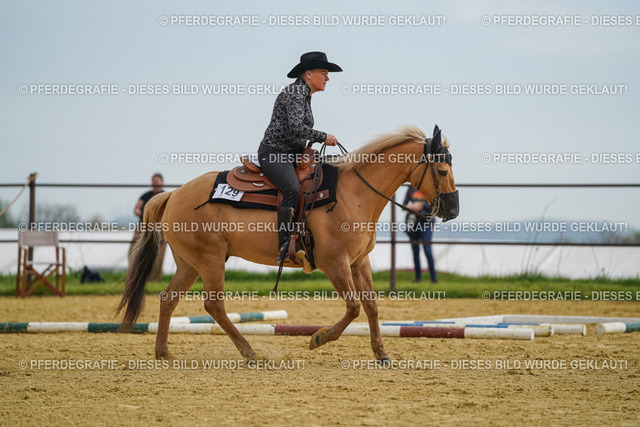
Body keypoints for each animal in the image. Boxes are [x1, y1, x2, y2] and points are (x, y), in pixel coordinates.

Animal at [117, 125, 458, 363]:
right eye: (442, 170)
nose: (453, 210)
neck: (353, 194)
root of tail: (173, 194)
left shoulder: (359, 262)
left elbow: (371, 307)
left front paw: (381, 353)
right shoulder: (335, 264)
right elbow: (353, 308)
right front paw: (318, 339)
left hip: (190, 263)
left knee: (168, 298)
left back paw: (163, 352)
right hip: (210, 260)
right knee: (214, 305)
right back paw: (250, 353)